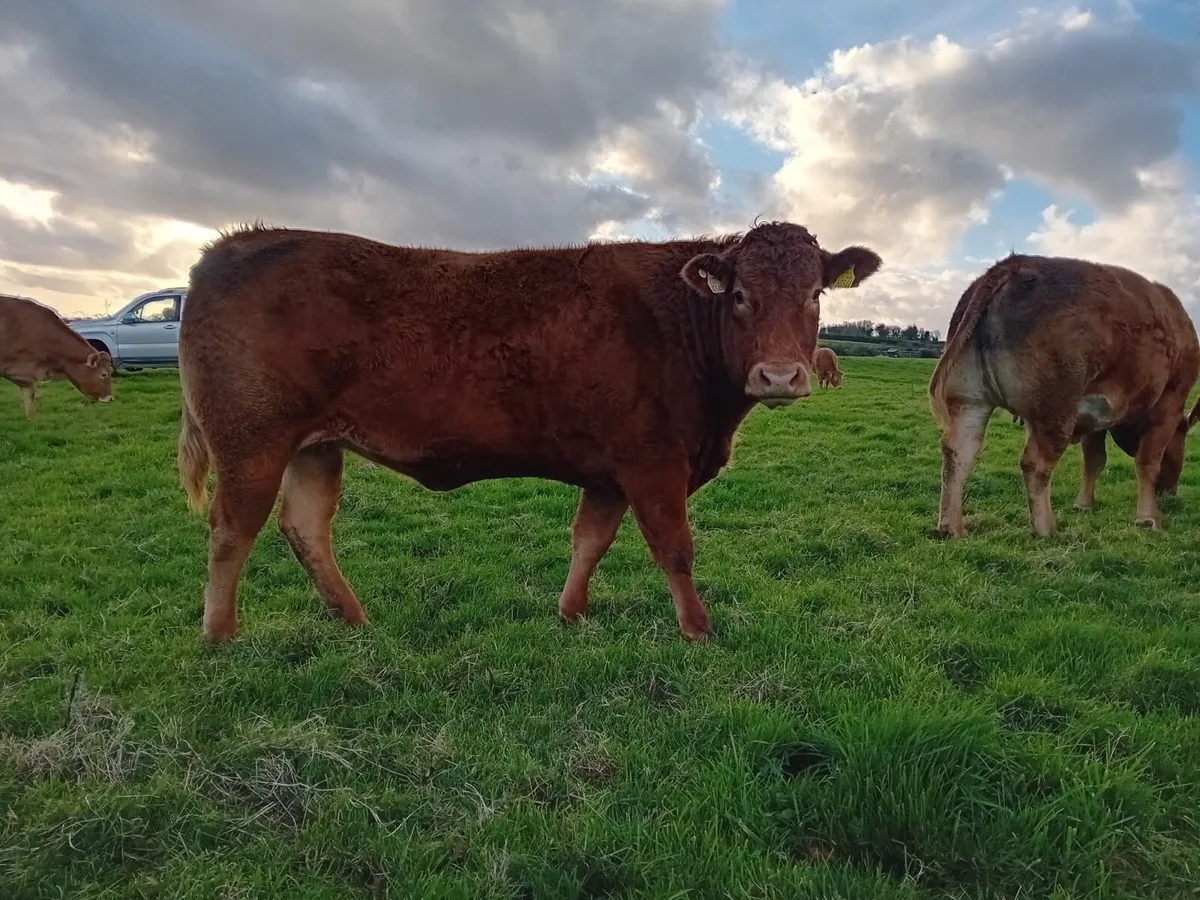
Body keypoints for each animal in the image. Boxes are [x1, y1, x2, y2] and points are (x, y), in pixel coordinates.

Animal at [177, 222, 882, 643]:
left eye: (816, 294)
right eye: (738, 296)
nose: (780, 375)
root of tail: (230, 245)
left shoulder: (610, 471)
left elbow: (589, 541)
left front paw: (571, 615)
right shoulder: (653, 463)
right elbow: (675, 549)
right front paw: (698, 631)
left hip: (316, 447)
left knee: (304, 527)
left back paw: (354, 620)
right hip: (251, 440)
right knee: (231, 530)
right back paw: (220, 636)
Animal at [928, 253, 1199, 538]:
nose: (1170, 492)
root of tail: (1016, 264)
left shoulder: (1096, 414)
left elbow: (1094, 460)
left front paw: (1084, 504)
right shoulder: (1169, 404)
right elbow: (1148, 463)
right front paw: (1149, 519)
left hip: (969, 402)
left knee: (958, 451)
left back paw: (951, 527)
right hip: (1055, 410)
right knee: (1035, 464)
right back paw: (1046, 528)